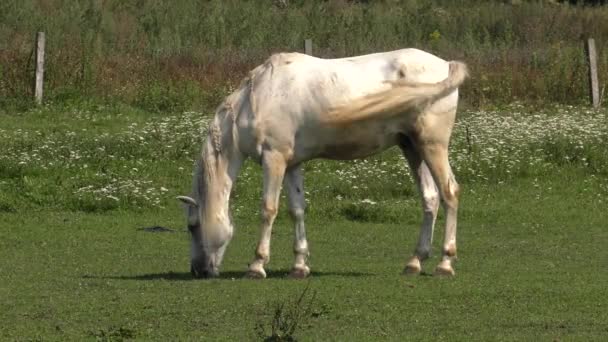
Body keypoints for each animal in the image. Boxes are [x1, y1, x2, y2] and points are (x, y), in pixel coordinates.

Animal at [178, 48, 468, 278]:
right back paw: (415, 262)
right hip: (413, 148)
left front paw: (257, 265)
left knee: (450, 194)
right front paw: (299, 266)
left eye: (192, 226)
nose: (198, 270)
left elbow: (268, 209)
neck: (258, 98)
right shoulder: (291, 164)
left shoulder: (274, 159)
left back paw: (445, 263)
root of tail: (445, 65)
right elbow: (296, 210)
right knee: (430, 198)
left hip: (433, 147)